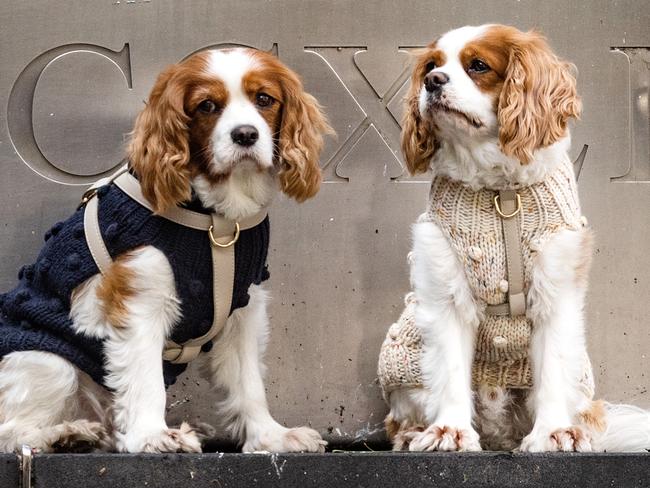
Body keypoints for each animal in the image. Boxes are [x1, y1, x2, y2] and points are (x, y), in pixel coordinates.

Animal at [0, 48, 332, 454]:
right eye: (207, 106)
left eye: (264, 99)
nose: (245, 134)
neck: (217, 222)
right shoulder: (141, 299)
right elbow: (147, 381)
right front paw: (152, 436)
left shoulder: (243, 307)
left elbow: (249, 382)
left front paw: (271, 436)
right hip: (47, 359)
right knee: (11, 431)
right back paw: (65, 435)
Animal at [374, 24, 648, 452]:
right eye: (432, 66)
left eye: (478, 65)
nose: (433, 82)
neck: (501, 191)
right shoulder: (446, 291)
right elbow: (450, 367)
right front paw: (449, 431)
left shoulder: (555, 288)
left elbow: (552, 368)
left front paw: (553, 433)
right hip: (403, 368)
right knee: (399, 417)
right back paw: (414, 433)